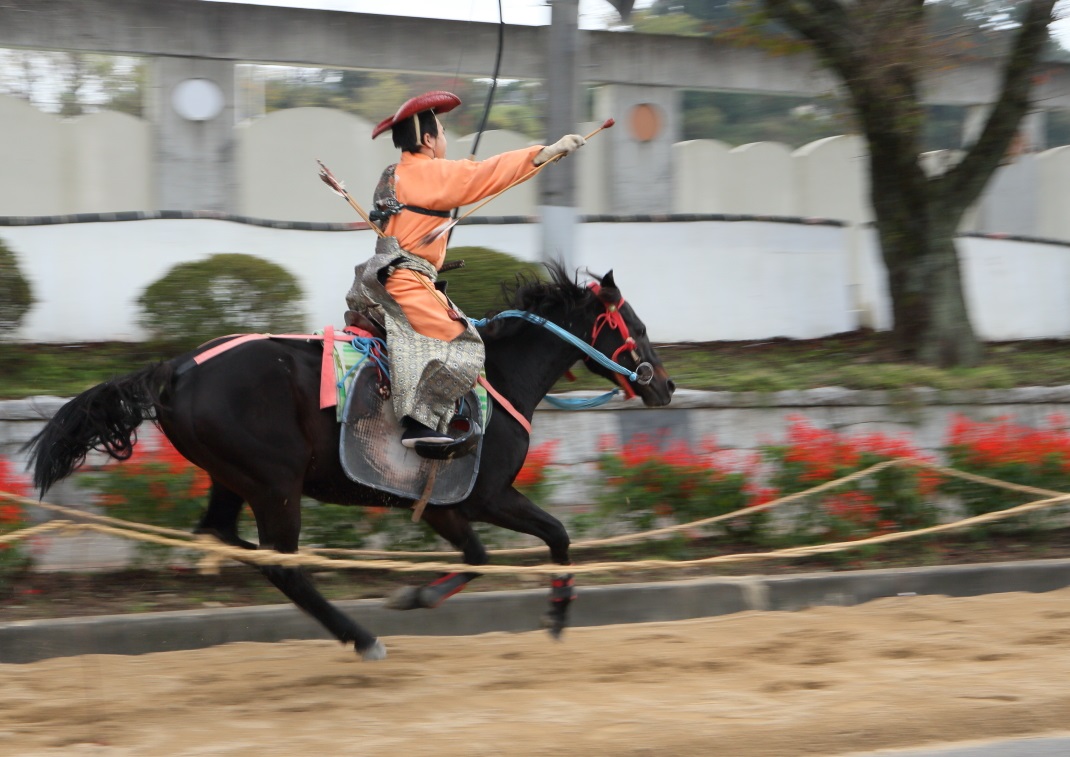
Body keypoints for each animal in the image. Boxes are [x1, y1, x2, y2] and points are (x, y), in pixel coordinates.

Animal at [25, 265, 671, 655]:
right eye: (637, 326)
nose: (663, 385)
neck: (496, 376)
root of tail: (177, 369)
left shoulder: (444, 504)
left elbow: (482, 555)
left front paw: (419, 595)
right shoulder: (482, 495)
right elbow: (551, 534)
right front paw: (556, 614)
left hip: (232, 477)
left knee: (224, 536)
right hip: (275, 482)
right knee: (282, 564)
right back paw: (361, 637)